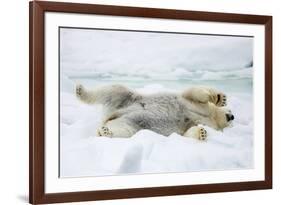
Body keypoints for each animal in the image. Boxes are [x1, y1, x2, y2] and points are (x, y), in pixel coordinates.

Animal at [74, 83, 232, 141]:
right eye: (230, 109)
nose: (232, 116)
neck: (211, 117)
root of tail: (111, 116)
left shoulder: (197, 122)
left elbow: (188, 131)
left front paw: (202, 133)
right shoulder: (192, 104)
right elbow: (194, 93)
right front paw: (220, 98)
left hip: (132, 124)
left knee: (124, 130)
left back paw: (105, 132)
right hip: (129, 99)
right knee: (112, 90)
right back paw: (80, 90)